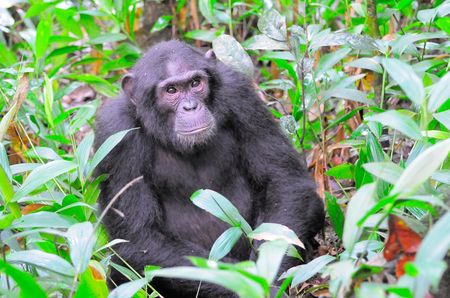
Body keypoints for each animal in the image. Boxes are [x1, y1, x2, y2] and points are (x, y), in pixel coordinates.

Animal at [96, 40, 324, 298]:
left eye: (196, 83)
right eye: (171, 90)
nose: (190, 106)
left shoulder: (241, 96)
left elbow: (283, 181)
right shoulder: (116, 134)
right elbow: (139, 236)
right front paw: (254, 286)